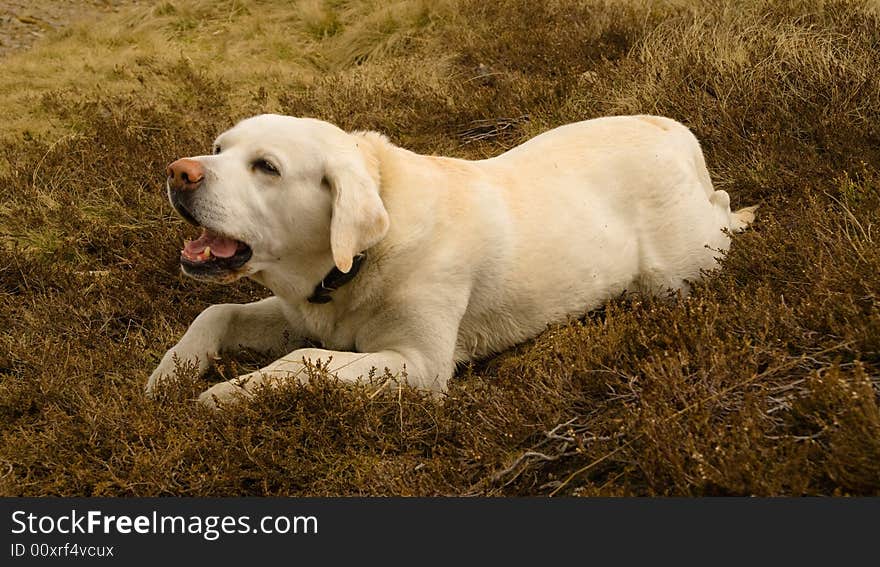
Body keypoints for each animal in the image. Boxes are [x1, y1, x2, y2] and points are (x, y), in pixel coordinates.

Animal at [144, 115, 756, 406]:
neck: (353, 264)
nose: (178, 171)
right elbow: (216, 312)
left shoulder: (418, 364)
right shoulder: (301, 311)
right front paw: (171, 373)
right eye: (219, 149)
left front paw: (223, 395)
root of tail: (676, 132)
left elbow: (299, 361)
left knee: (723, 209)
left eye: (266, 167)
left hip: (679, 271)